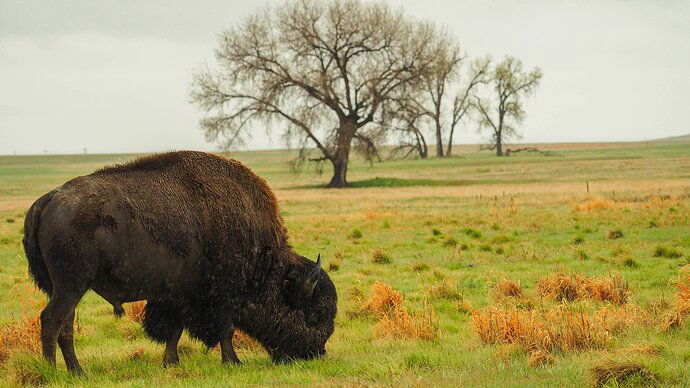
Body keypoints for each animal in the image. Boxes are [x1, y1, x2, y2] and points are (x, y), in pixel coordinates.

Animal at [25, 151, 338, 372]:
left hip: (67, 288)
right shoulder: (223, 295)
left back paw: (76, 371)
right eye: (313, 314)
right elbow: (225, 329)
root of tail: (48, 200)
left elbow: (174, 330)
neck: (265, 261)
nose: (316, 353)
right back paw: (55, 372)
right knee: (51, 320)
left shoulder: (177, 296)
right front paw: (233, 362)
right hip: (71, 285)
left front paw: (170, 362)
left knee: (65, 324)